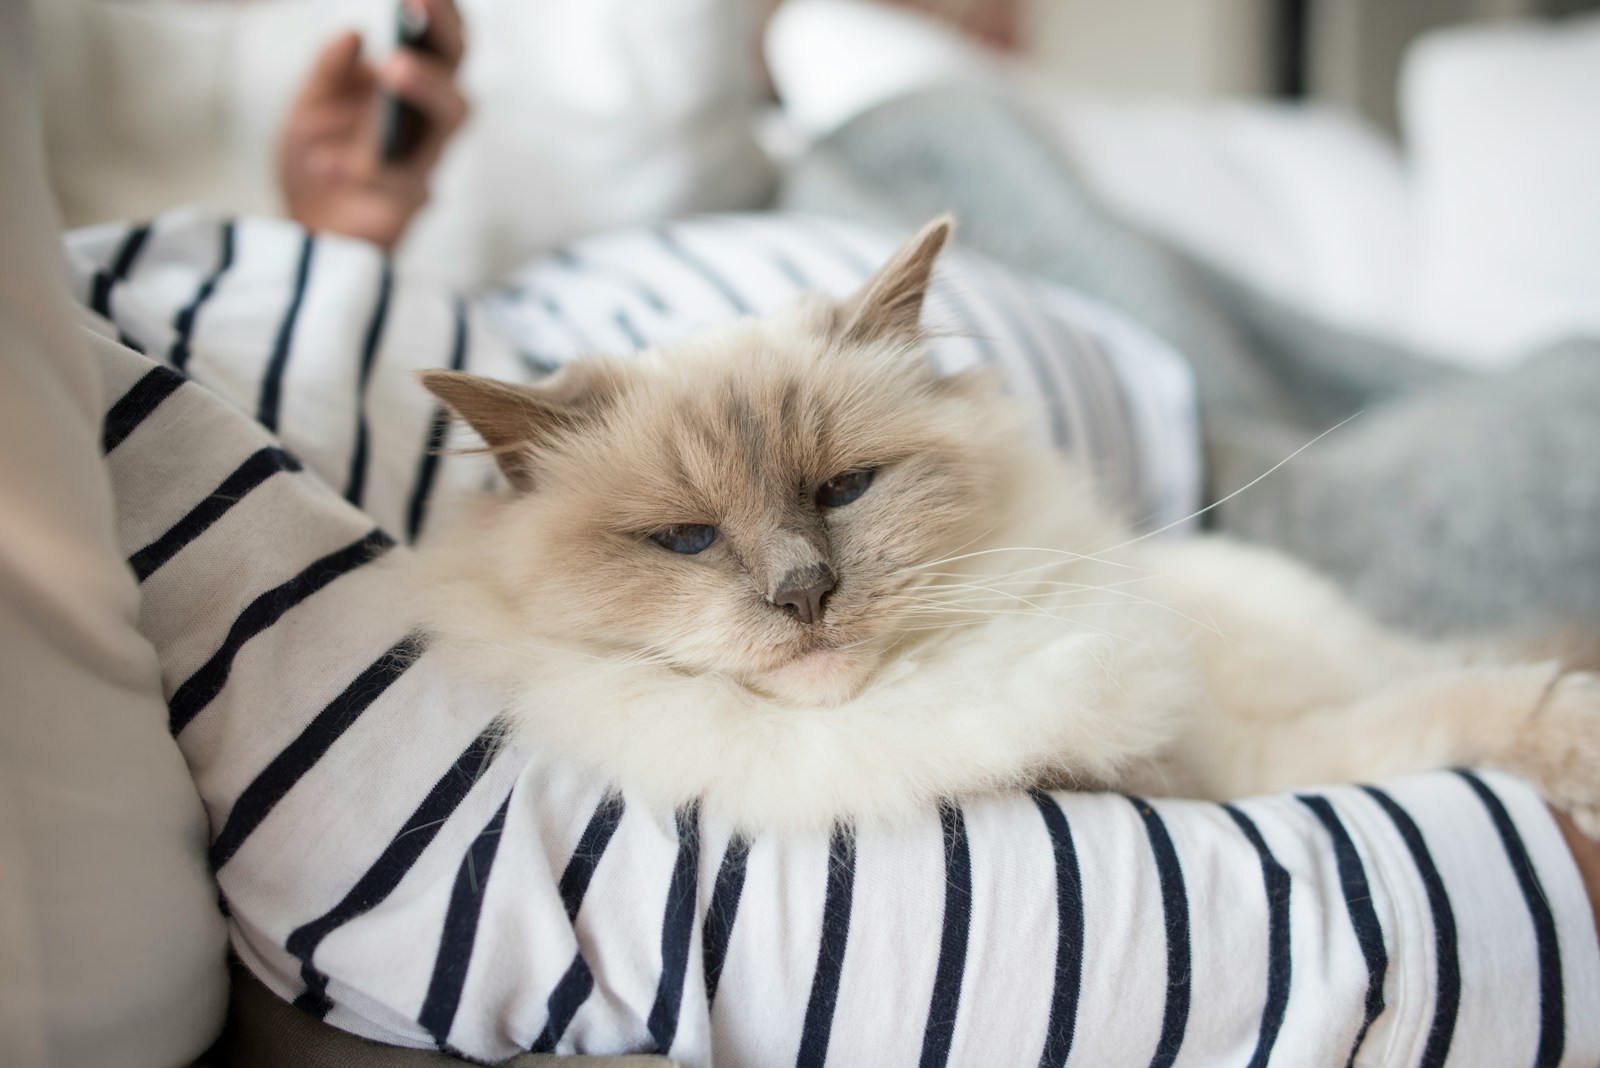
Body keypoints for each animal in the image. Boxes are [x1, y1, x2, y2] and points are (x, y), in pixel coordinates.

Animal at [409, 217, 1600, 831]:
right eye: (687, 542)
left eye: (845, 489)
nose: (804, 594)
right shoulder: (1220, 779)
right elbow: (1447, 713)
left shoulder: (1234, 759)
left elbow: (1473, 707)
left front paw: (1579, 744)